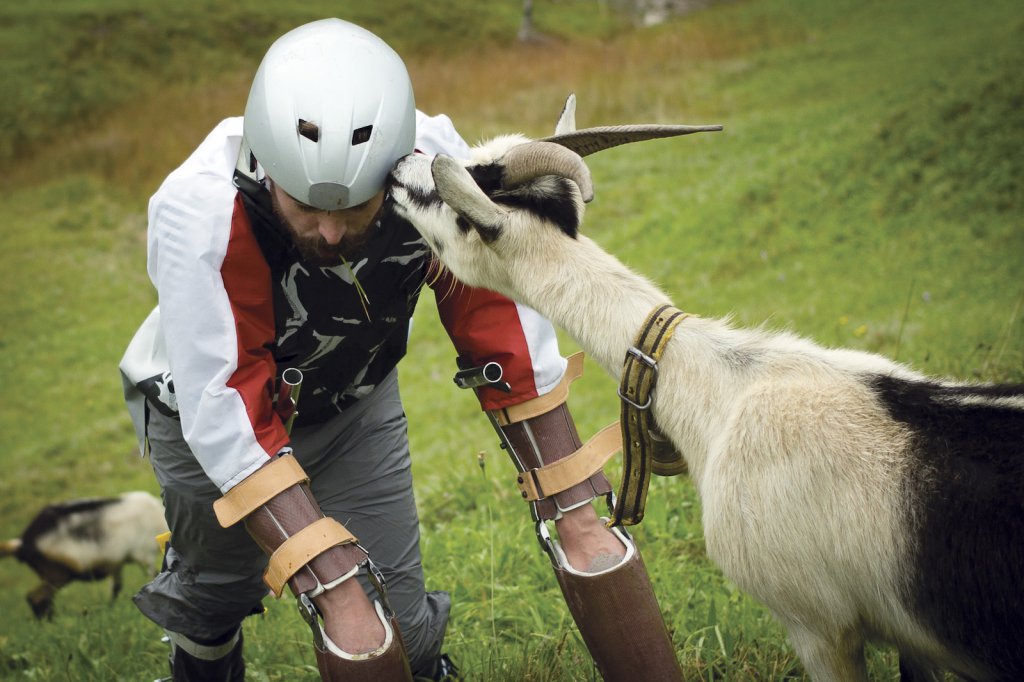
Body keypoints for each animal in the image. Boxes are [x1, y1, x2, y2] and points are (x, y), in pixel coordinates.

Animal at [0, 489, 166, 614]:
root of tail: (23, 543)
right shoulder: (144, 555)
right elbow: (152, 577)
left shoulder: (116, 563)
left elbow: (116, 588)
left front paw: (109, 609)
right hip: (57, 573)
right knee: (36, 597)